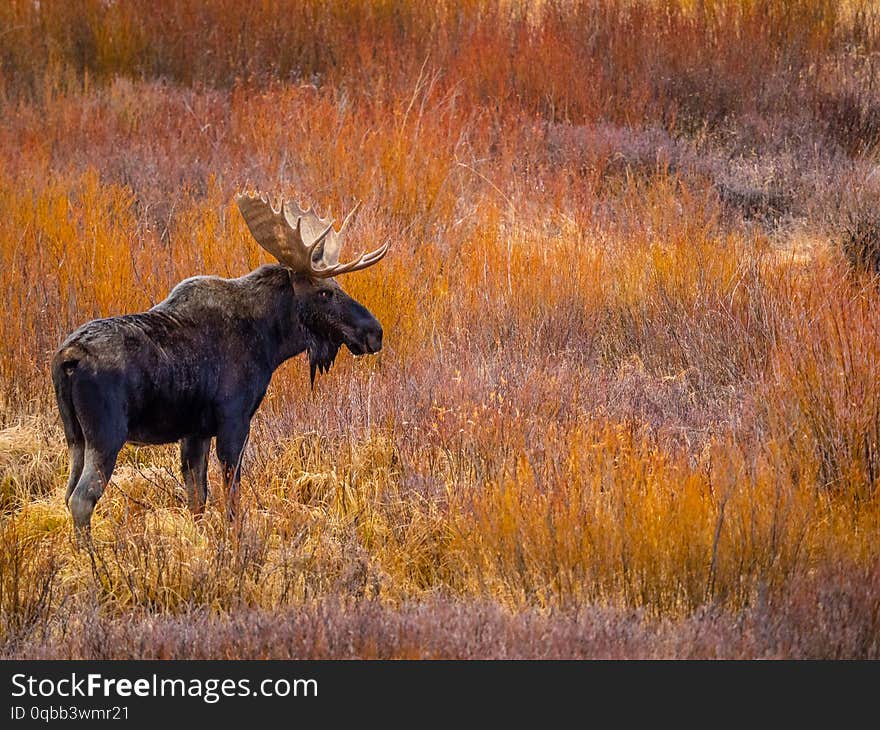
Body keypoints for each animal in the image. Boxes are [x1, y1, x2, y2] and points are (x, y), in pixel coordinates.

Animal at [50, 191, 388, 536]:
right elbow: (231, 496)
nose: (374, 331)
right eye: (324, 292)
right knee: (82, 498)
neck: (270, 340)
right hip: (106, 435)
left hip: (75, 437)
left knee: (67, 492)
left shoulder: (195, 432)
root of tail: (67, 359)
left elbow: (197, 497)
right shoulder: (234, 419)